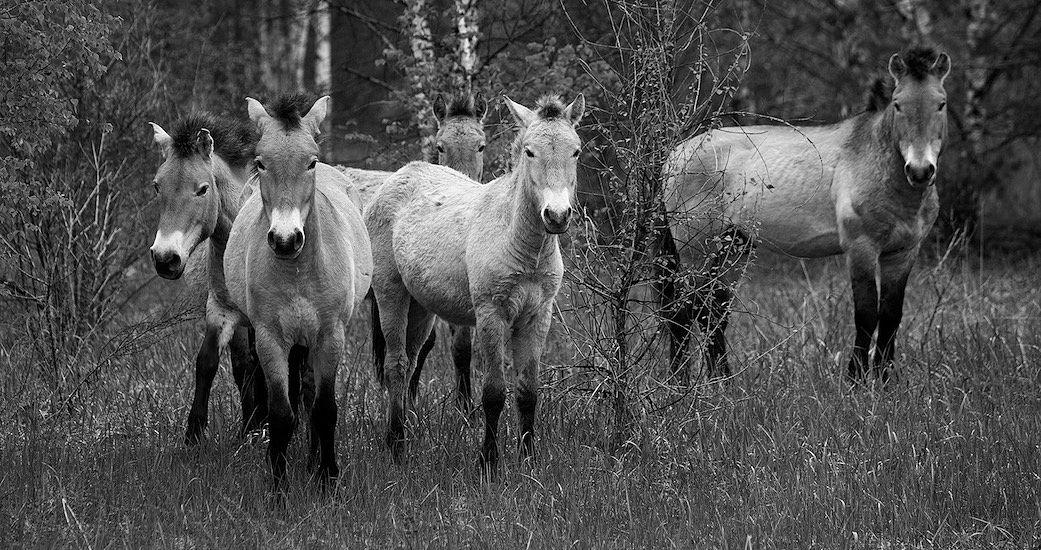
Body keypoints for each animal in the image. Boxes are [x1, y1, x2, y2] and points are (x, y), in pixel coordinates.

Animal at [147, 111, 268, 441]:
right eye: (157, 186)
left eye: (202, 189)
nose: (165, 258)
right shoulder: (221, 311)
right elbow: (209, 362)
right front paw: (195, 433)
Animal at [221, 94, 372, 485]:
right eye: (260, 163)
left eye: (311, 162)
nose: (286, 240)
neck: (298, 272)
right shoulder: (270, 339)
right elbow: (282, 415)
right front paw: (278, 484)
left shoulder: (330, 337)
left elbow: (324, 410)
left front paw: (328, 479)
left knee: (309, 394)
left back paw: (313, 460)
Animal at [366, 94, 582, 472]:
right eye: (529, 152)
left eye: (576, 151)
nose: (557, 216)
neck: (520, 243)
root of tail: (401, 175)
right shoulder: (490, 314)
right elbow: (493, 392)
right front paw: (489, 462)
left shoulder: (537, 317)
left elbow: (528, 391)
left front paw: (529, 461)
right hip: (391, 293)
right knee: (396, 365)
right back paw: (395, 446)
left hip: (421, 308)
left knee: (410, 364)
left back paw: (406, 432)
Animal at [662, 47, 949, 383]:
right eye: (898, 104)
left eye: (941, 103)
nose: (920, 171)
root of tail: (674, 155)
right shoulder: (861, 249)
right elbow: (866, 314)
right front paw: (855, 380)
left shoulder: (902, 254)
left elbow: (891, 316)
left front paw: (885, 381)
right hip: (695, 250)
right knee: (683, 312)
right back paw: (678, 384)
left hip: (733, 246)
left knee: (713, 312)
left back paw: (724, 382)